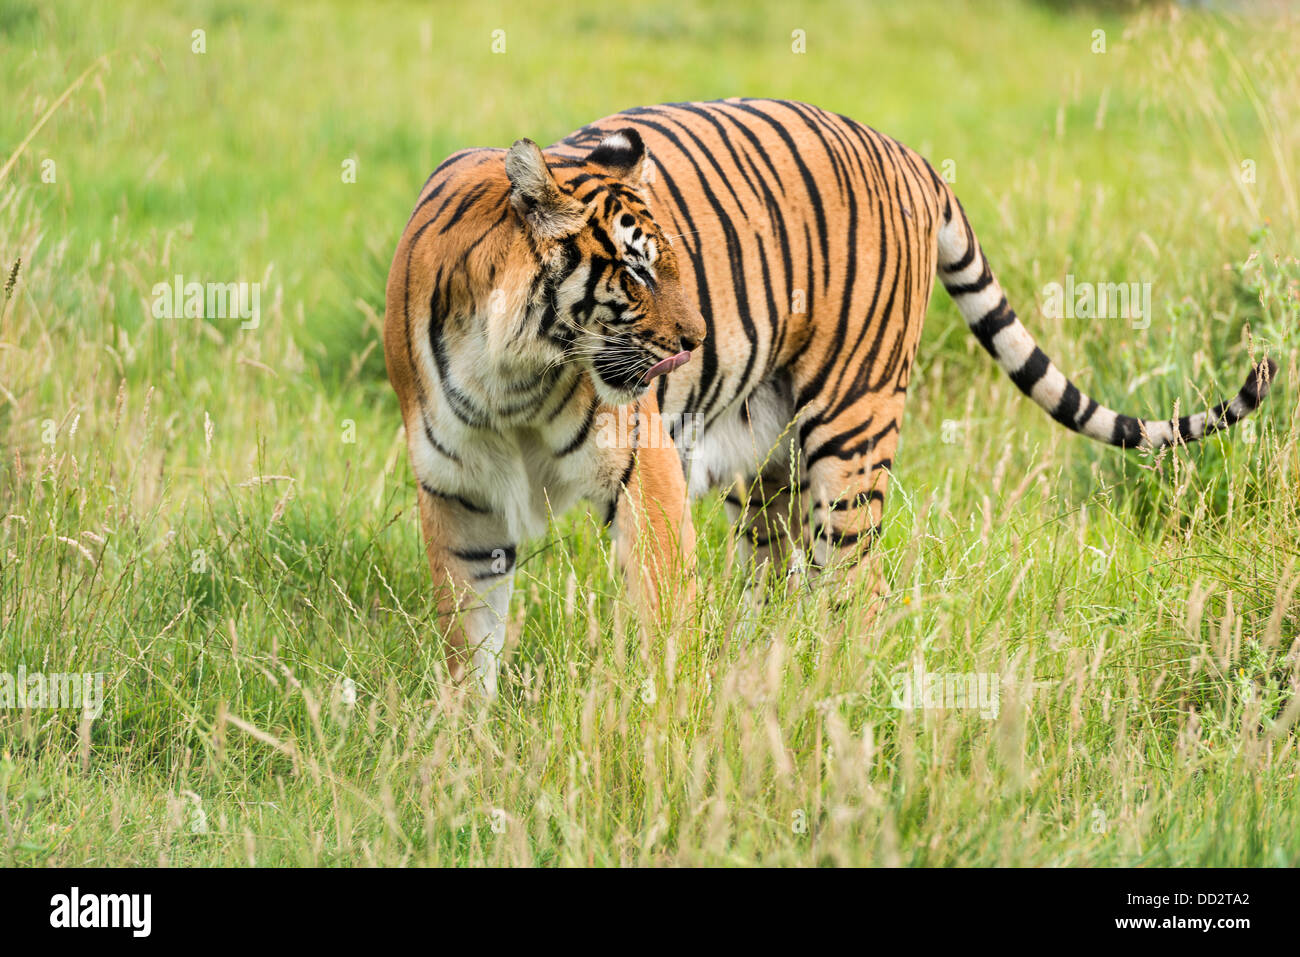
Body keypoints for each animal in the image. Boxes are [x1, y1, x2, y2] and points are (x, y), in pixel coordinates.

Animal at [379, 98, 1274, 696]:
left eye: (673, 262)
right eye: (635, 270)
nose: (694, 339)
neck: (516, 377)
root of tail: (906, 151)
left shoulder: (641, 466)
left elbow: (662, 609)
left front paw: (660, 717)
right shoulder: (458, 495)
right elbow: (467, 637)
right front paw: (464, 751)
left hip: (852, 432)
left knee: (856, 588)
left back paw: (839, 691)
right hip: (762, 461)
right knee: (778, 576)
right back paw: (762, 665)